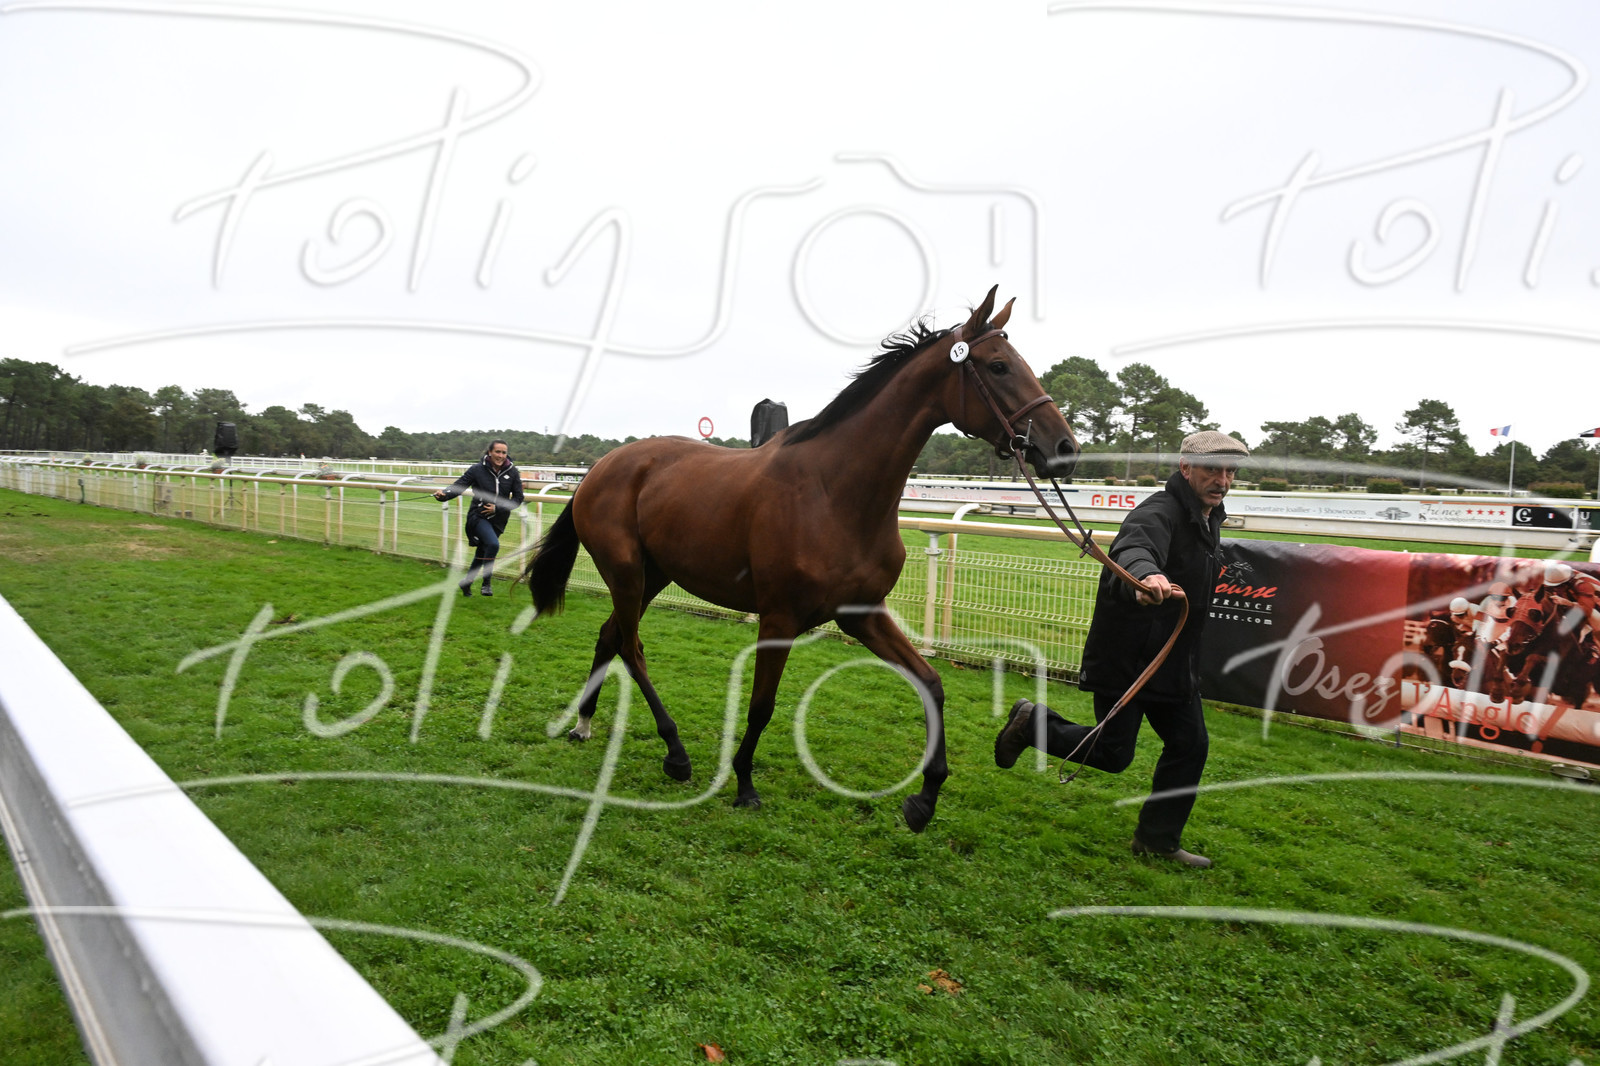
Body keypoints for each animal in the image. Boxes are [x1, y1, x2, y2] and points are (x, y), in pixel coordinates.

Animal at [522, 286, 1079, 832]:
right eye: (999, 366)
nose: (1065, 448)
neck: (834, 493)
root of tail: (599, 469)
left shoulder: (863, 614)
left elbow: (931, 683)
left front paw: (925, 798)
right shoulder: (780, 617)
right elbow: (762, 706)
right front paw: (744, 784)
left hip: (651, 575)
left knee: (610, 637)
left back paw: (584, 724)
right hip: (625, 573)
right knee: (631, 648)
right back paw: (675, 753)